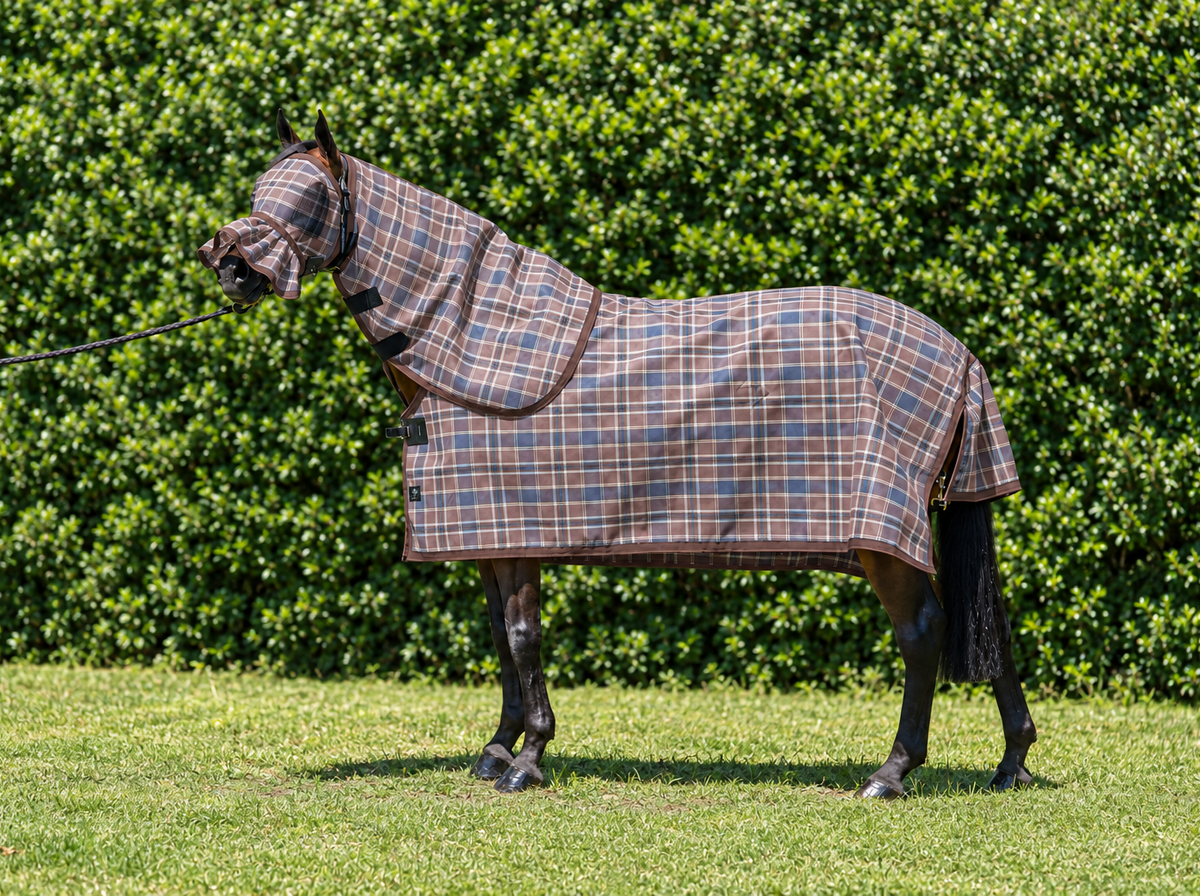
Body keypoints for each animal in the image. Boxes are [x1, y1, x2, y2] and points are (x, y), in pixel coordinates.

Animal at [198, 110, 1037, 798]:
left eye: (309, 199)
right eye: (260, 187)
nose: (231, 266)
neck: (472, 341)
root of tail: (958, 353)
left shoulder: (520, 534)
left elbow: (524, 637)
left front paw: (529, 761)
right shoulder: (492, 536)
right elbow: (501, 638)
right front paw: (498, 750)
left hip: (881, 539)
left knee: (923, 634)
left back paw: (891, 773)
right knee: (983, 623)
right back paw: (1012, 762)